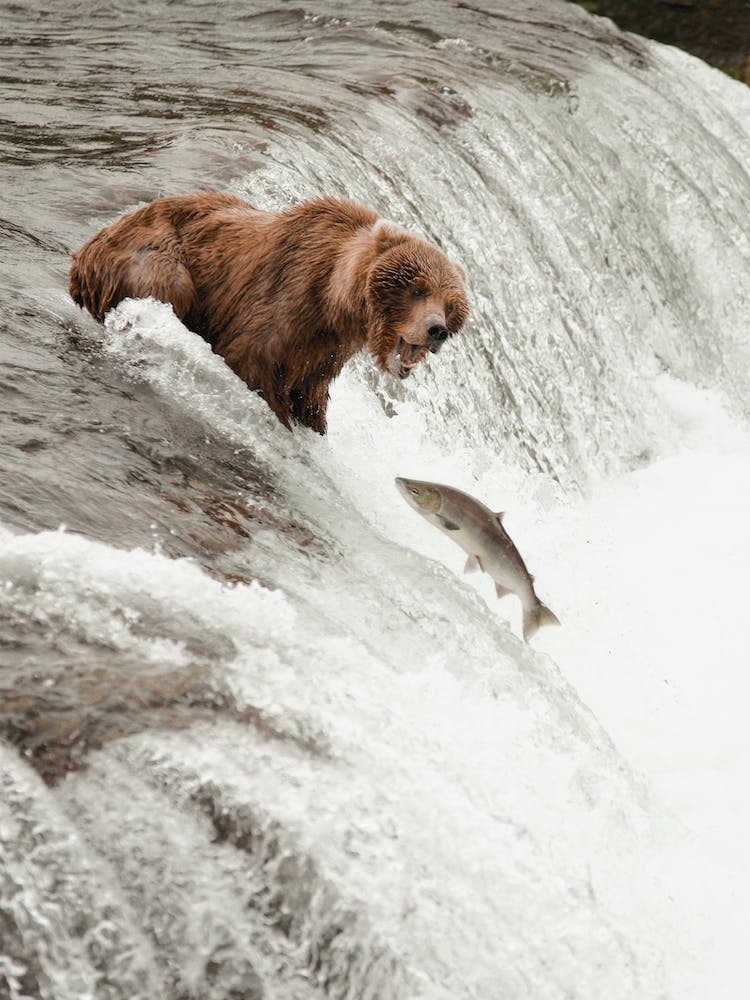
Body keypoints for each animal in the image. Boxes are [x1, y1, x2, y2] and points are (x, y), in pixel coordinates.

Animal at [69, 193, 469, 434]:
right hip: (151, 255)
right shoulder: (285, 299)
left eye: (450, 306)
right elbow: (252, 358)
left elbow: (310, 394)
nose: (437, 330)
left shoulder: (325, 349)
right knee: (168, 286)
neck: (334, 299)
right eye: (418, 289)